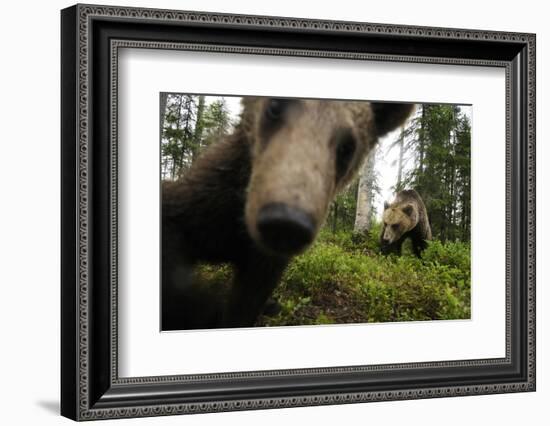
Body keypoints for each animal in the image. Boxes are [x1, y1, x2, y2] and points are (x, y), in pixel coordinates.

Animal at [163, 97, 414, 330]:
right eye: (275, 106)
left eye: (347, 147)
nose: (285, 222)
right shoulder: (207, 203)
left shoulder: (264, 263)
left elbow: (246, 303)